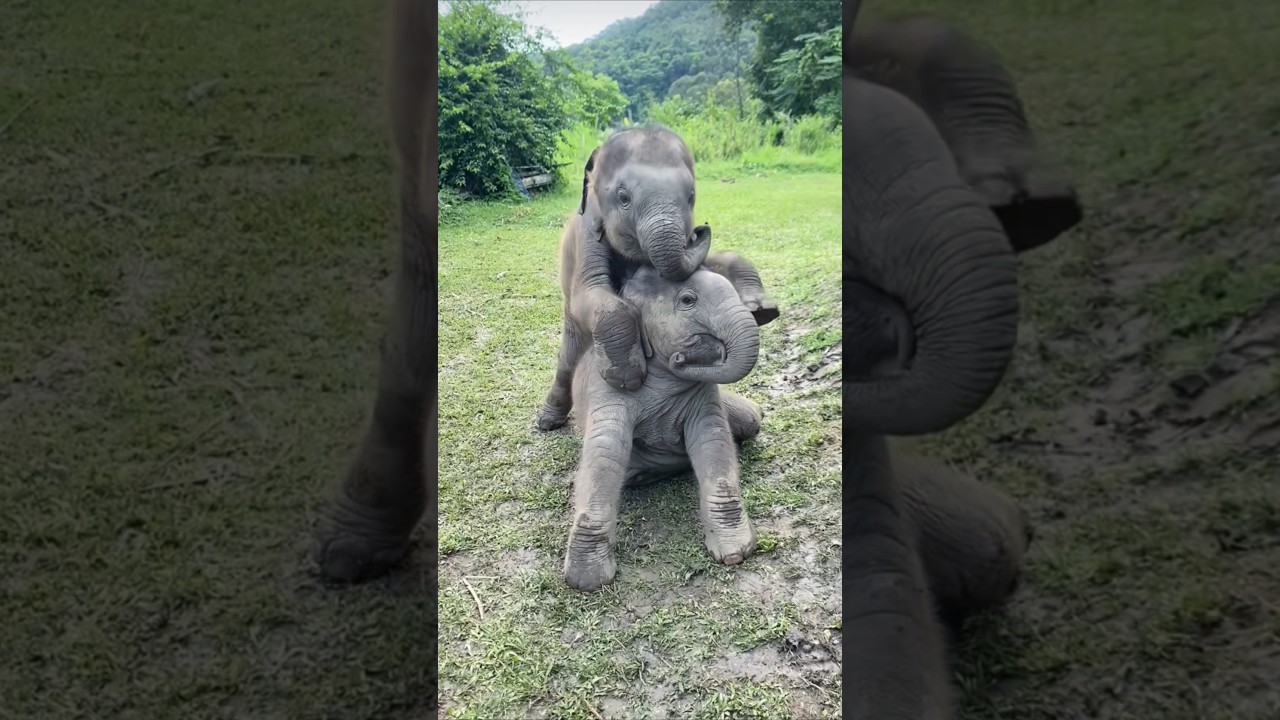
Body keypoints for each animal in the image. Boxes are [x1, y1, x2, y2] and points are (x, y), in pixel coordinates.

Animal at [561, 263, 765, 592]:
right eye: (687, 300)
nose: (681, 357)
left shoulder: (705, 393)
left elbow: (713, 441)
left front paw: (735, 554)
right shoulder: (608, 385)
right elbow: (604, 455)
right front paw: (587, 582)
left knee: (750, 419)